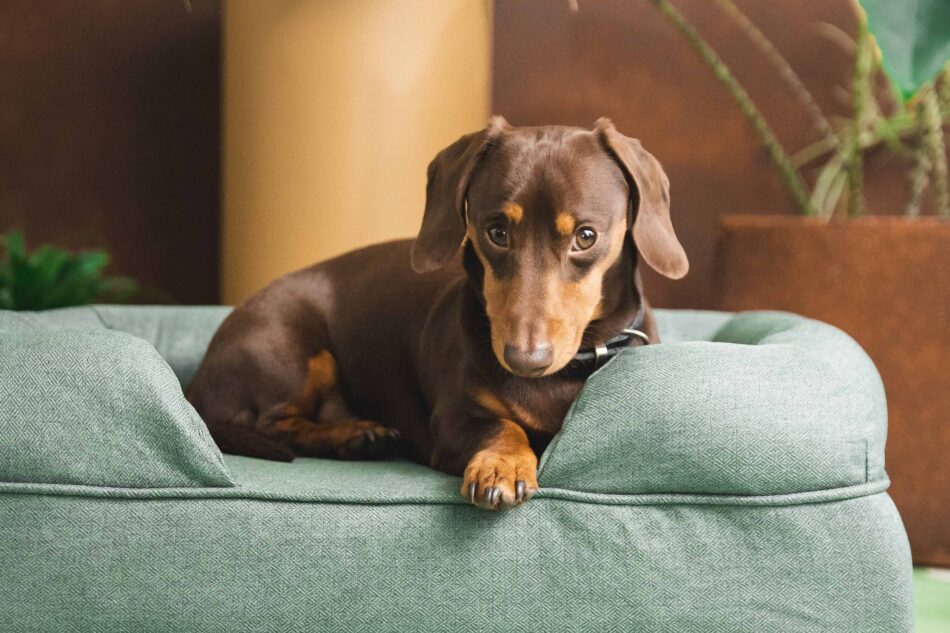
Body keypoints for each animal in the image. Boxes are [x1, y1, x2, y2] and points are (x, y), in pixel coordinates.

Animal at [188, 117, 692, 508]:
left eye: (586, 236)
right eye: (496, 232)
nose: (524, 359)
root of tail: (197, 382)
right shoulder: (451, 422)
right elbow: (502, 426)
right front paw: (501, 467)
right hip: (293, 351)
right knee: (276, 424)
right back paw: (355, 436)